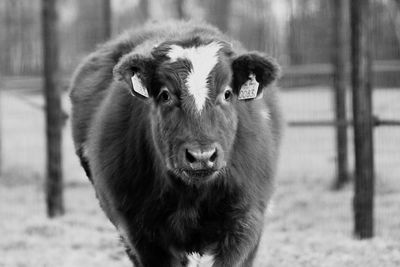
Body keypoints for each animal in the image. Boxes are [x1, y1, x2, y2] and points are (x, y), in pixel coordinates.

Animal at [71, 21, 284, 267]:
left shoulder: (246, 222)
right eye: (165, 95)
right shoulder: (142, 234)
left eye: (227, 93)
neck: (192, 195)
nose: (202, 156)